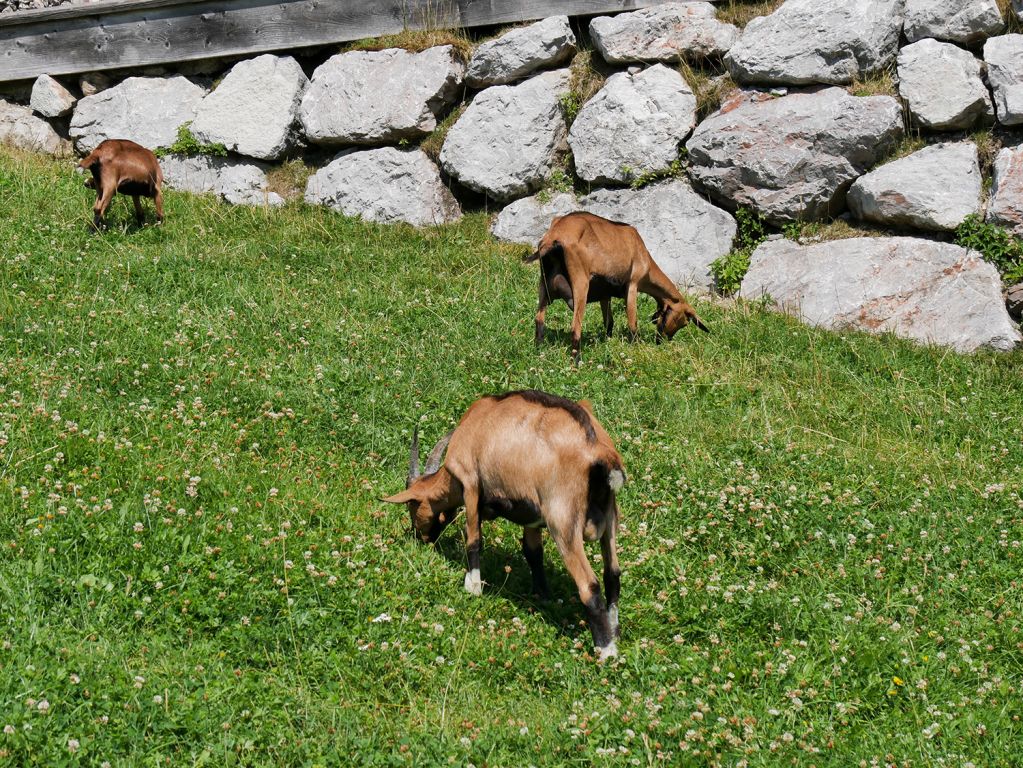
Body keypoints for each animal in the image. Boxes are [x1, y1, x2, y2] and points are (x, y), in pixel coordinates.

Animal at [382, 390, 621, 662]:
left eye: (413, 505)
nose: (422, 538)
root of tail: (599, 452)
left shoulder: (470, 481)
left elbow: (474, 540)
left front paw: (473, 586)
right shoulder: (531, 514)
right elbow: (533, 553)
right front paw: (542, 596)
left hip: (563, 521)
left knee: (589, 585)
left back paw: (606, 651)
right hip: (610, 516)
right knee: (612, 574)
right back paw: (614, 633)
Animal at [523, 211, 707, 364]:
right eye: (681, 322)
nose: (662, 341)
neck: (644, 256)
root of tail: (555, 236)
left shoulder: (605, 295)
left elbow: (609, 322)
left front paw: (608, 341)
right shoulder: (632, 285)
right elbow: (632, 323)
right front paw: (636, 348)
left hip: (544, 287)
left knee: (539, 319)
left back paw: (538, 351)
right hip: (581, 284)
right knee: (575, 326)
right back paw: (577, 361)